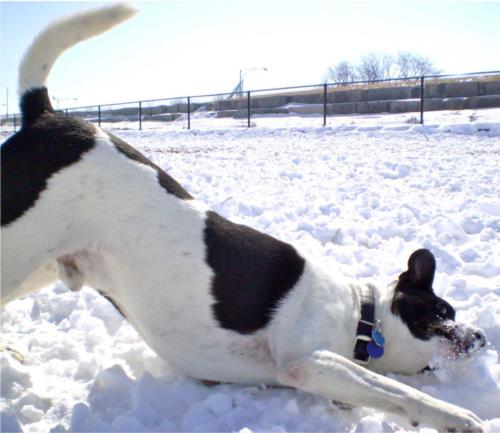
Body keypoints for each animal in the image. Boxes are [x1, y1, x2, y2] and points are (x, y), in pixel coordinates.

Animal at [1, 4, 486, 432]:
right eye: (442, 311)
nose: (481, 336)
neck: (361, 317)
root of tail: (45, 115)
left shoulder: (318, 369)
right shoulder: (307, 360)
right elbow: (397, 391)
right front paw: (458, 417)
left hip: (39, 264)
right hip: (15, 251)